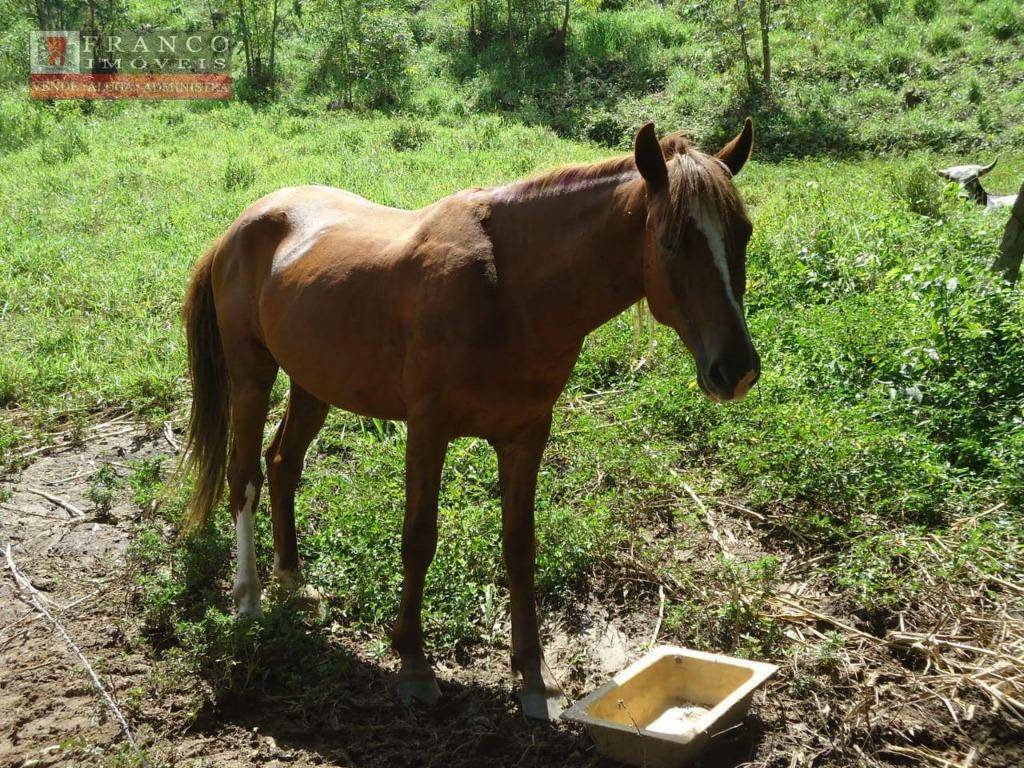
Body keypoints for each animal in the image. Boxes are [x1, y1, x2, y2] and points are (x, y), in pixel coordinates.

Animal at [180, 120, 761, 720]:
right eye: (671, 240)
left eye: (742, 234)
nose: (736, 370)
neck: (508, 290)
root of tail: (241, 226)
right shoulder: (428, 429)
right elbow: (418, 538)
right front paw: (413, 662)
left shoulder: (526, 435)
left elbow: (520, 547)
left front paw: (535, 677)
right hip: (251, 376)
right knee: (245, 476)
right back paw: (249, 597)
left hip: (312, 384)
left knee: (283, 465)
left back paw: (293, 580)